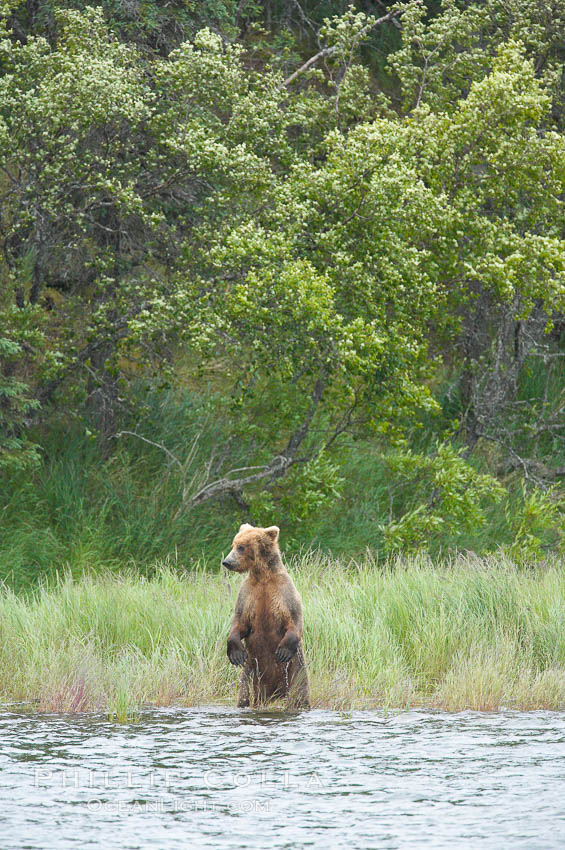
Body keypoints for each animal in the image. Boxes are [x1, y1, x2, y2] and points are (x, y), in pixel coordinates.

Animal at [221, 524, 308, 708]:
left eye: (241, 547)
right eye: (234, 544)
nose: (227, 562)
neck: (262, 576)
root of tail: (274, 694)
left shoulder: (283, 591)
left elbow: (294, 619)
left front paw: (282, 651)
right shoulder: (248, 594)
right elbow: (239, 621)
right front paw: (236, 654)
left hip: (296, 669)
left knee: (300, 691)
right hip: (251, 671)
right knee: (245, 693)